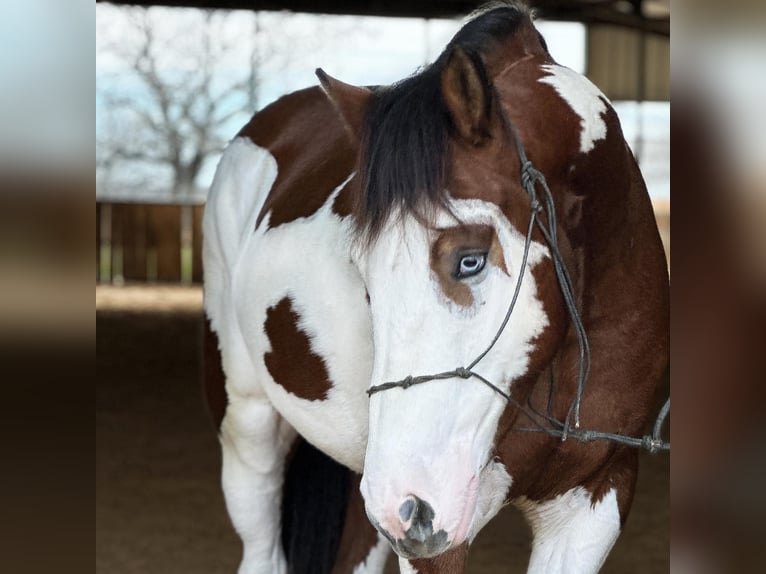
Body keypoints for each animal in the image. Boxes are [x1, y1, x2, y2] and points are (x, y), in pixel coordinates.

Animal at [204, 2, 672, 572]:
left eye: (469, 261)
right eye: (360, 272)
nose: (406, 503)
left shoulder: (592, 501)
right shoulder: (438, 532)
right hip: (253, 427)